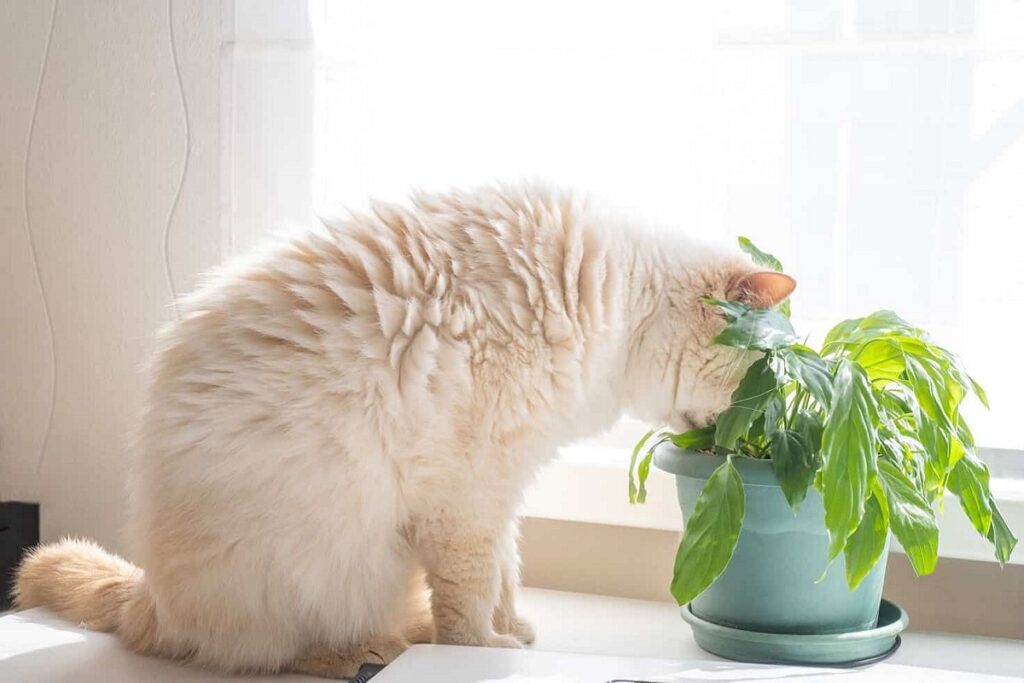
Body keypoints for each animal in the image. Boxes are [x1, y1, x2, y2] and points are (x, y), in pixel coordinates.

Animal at [16, 183, 794, 679]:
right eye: (764, 377)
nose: (745, 440)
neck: (619, 299)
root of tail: (153, 594)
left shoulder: (503, 489)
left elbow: (505, 575)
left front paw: (511, 633)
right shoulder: (469, 497)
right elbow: (471, 599)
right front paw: (484, 652)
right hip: (333, 563)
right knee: (271, 650)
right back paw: (365, 655)